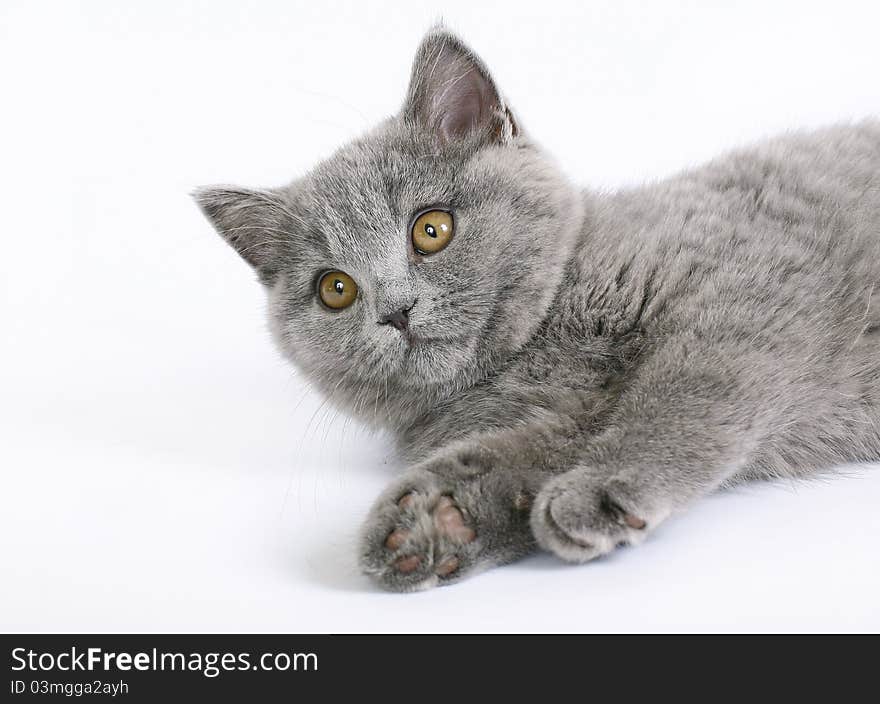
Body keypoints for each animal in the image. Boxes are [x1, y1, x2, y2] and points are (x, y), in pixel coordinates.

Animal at [196, 28, 880, 588]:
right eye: (335, 289)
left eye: (431, 230)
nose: (395, 310)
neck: (536, 350)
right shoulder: (553, 413)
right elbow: (541, 443)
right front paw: (437, 517)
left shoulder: (744, 292)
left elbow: (680, 398)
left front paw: (600, 492)